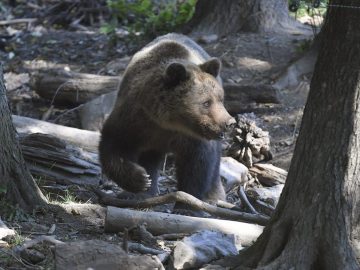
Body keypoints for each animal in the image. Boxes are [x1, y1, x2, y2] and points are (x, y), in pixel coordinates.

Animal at [98, 33, 235, 206]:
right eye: (206, 102)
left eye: (220, 99)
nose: (229, 122)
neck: (168, 122)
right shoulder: (133, 120)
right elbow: (114, 145)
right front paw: (140, 180)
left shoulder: (193, 138)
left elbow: (197, 164)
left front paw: (187, 203)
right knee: (149, 157)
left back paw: (214, 195)